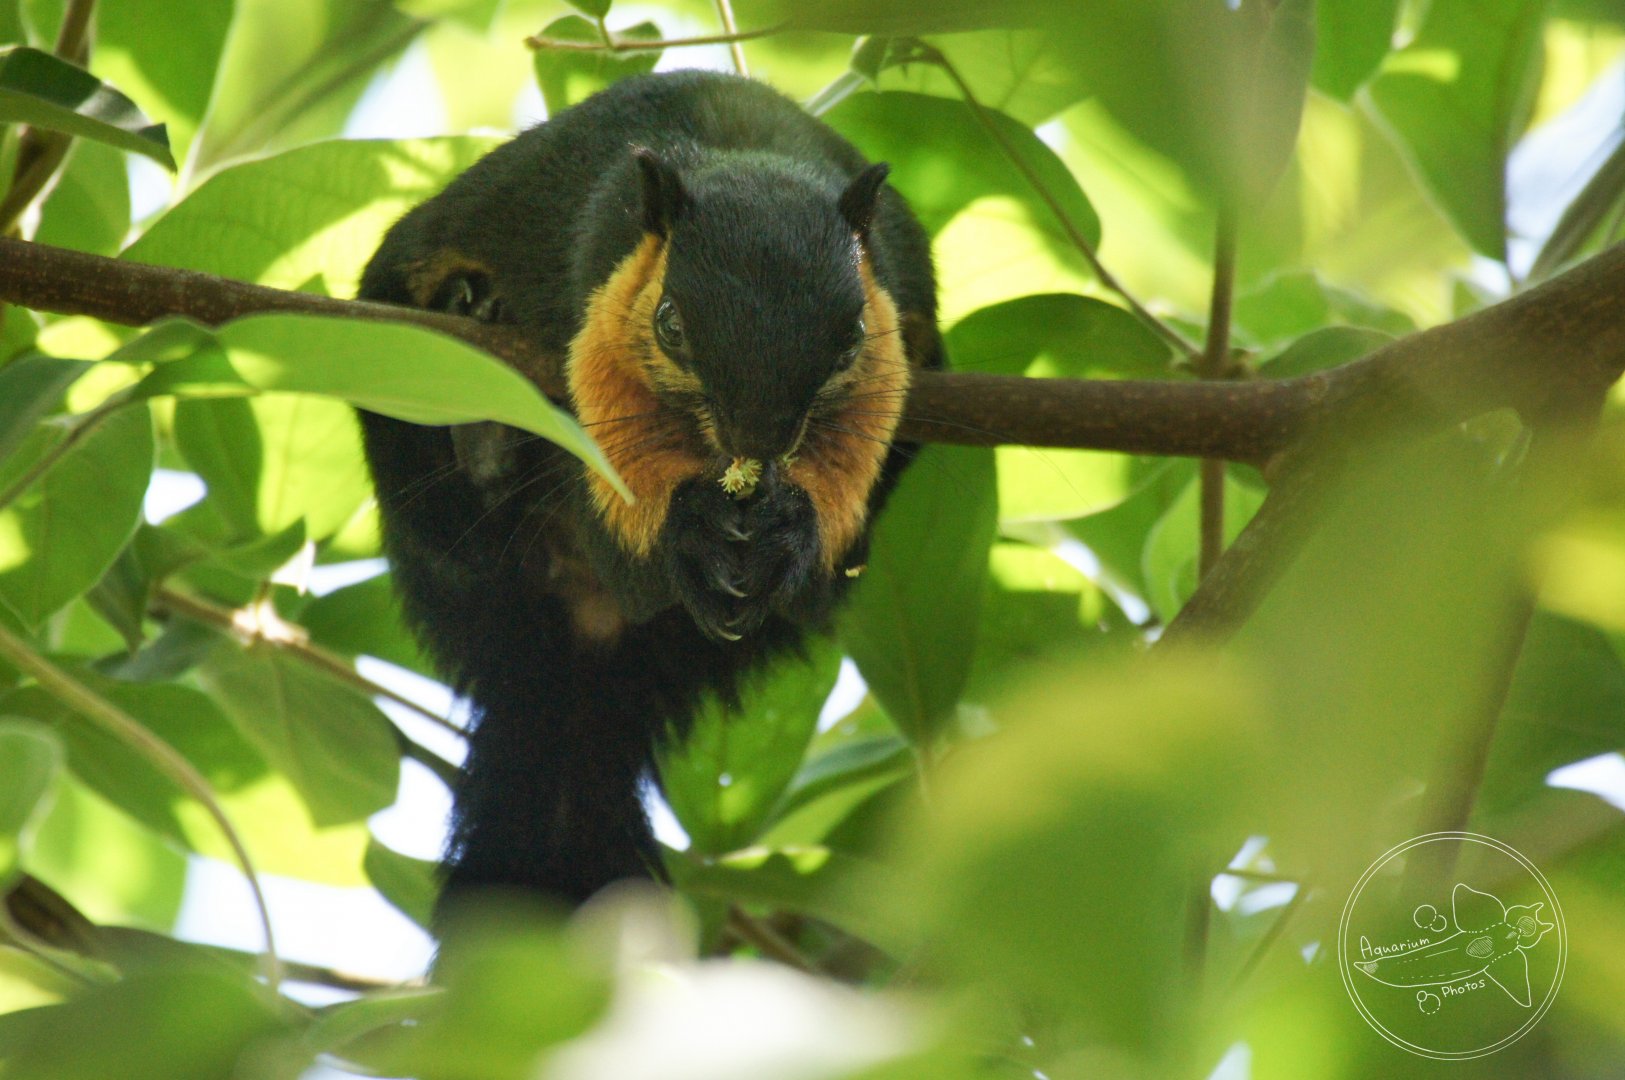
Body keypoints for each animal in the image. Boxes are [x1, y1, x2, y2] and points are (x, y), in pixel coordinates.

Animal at [356, 71, 942, 914]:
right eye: (671, 324)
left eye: (852, 341)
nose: (759, 440)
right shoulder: (582, 307)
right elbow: (628, 553)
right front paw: (691, 533)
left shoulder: (901, 337)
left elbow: (818, 567)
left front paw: (788, 534)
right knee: (467, 529)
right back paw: (482, 418)